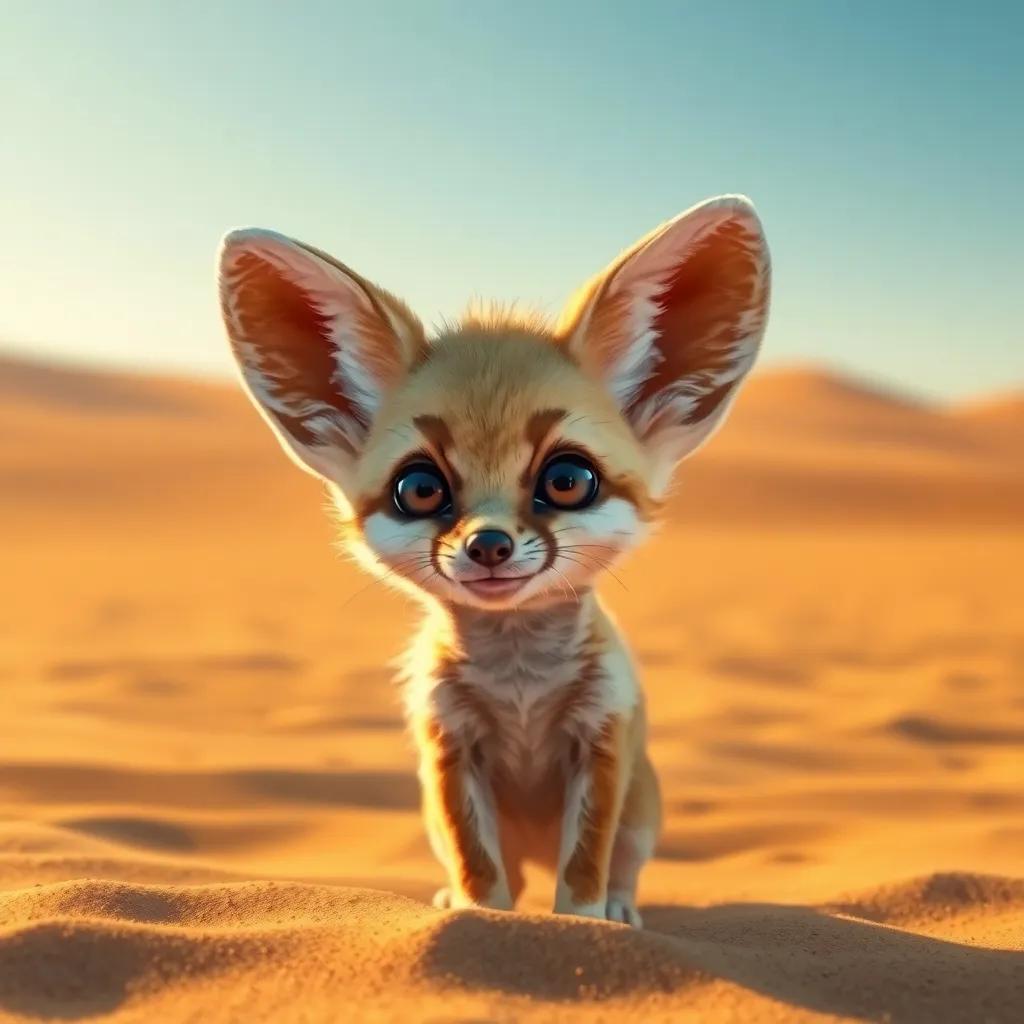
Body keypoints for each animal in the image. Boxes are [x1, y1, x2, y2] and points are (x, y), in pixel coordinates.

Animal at [217, 195, 770, 927]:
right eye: (420, 488)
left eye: (568, 479)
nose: (488, 545)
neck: (520, 686)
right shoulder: (448, 743)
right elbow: (477, 866)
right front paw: (480, 921)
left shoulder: (602, 735)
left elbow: (584, 872)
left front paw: (585, 926)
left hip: (643, 809)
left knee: (622, 864)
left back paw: (623, 909)